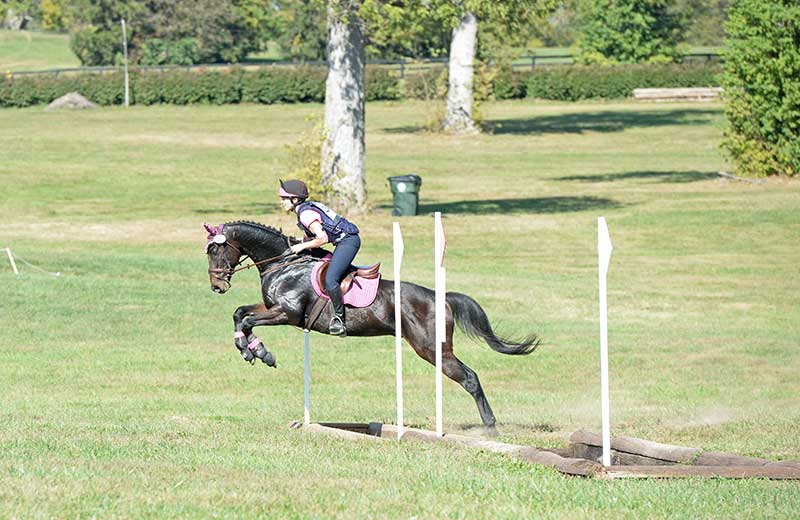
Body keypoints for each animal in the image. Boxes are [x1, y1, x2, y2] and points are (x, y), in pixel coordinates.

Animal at [203, 219, 540, 426]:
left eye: (216, 249)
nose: (217, 286)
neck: (285, 262)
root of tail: (440, 297)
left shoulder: (287, 313)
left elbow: (248, 321)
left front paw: (259, 353)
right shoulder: (272, 308)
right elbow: (240, 314)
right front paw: (251, 350)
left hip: (432, 349)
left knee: (469, 378)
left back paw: (490, 427)